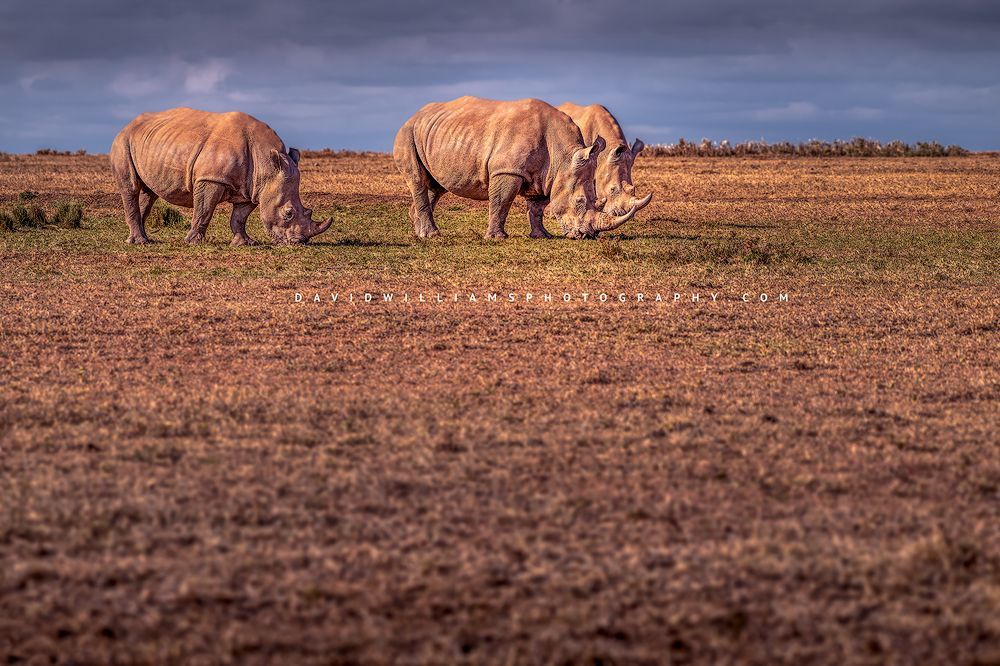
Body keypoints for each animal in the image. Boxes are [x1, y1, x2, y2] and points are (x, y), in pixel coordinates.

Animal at [110, 107, 332, 245]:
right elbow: (204, 211)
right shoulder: (211, 179)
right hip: (123, 142)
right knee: (131, 188)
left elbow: (239, 217)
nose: (300, 242)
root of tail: (127, 125)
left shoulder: (252, 189)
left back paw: (145, 240)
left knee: (149, 193)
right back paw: (140, 242)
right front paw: (192, 242)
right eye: (288, 213)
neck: (266, 164)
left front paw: (245, 243)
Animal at [393, 96, 649, 240]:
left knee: (435, 186)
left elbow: (537, 207)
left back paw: (420, 233)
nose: (588, 235)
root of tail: (414, 115)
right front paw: (497, 238)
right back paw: (433, 235)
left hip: (433, 132)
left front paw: (542, 236)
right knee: (418, 180)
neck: (564, 155)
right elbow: (502, 201)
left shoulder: (549, 175)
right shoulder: (508, 170)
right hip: (407, 133)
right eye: (579, 202)